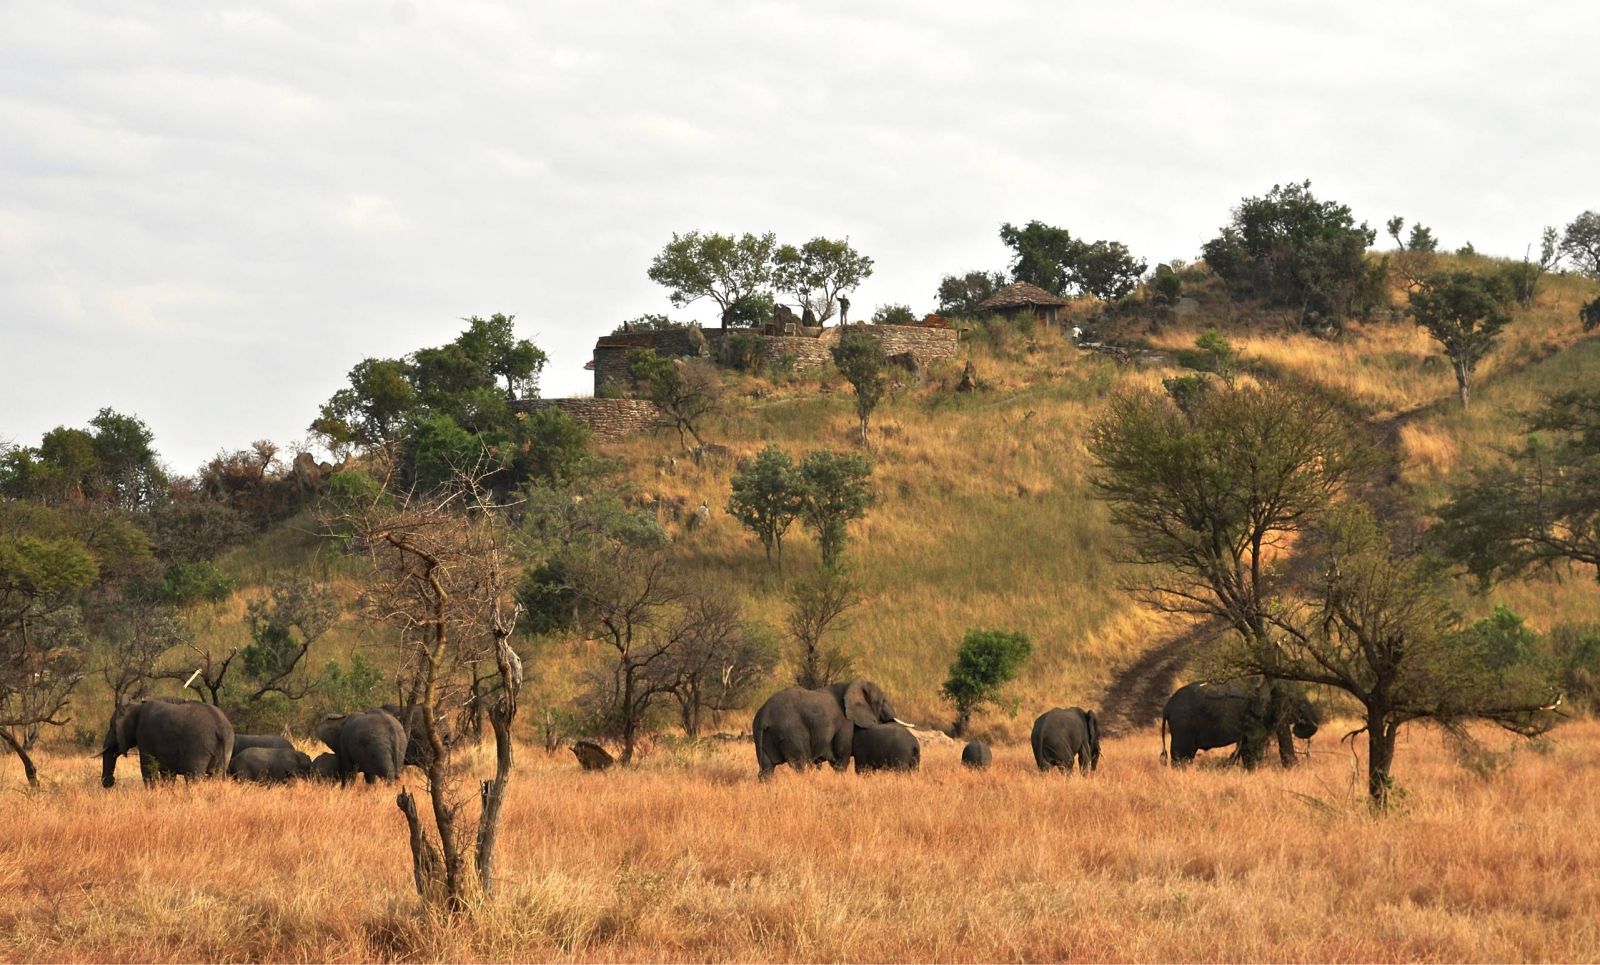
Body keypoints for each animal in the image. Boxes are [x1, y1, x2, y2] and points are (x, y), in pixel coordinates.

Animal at [101, 697, 233, 790]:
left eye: (111, 726)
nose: (110, 782)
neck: (137, 706)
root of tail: (221, 727)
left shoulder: (145, 734)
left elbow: (148, 768)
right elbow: (167, 773)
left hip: (200, 746)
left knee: (193, 777)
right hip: (225, 748)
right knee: (215, 775)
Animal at [745, 675, 902, 780]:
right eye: (883, 701)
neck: (851, 684)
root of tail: (764, 716)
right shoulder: (845, 723)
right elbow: (841, 758)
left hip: (763, 735)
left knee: (766, 770)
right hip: (791, 733)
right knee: (801, 764)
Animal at [1164, 678, 1324, 771]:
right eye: (1292, 700)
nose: (1299, 724)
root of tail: (1168, 706)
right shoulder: (1252, 717)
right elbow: (1253, 746)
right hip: (1183, 725)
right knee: (1181, 755)